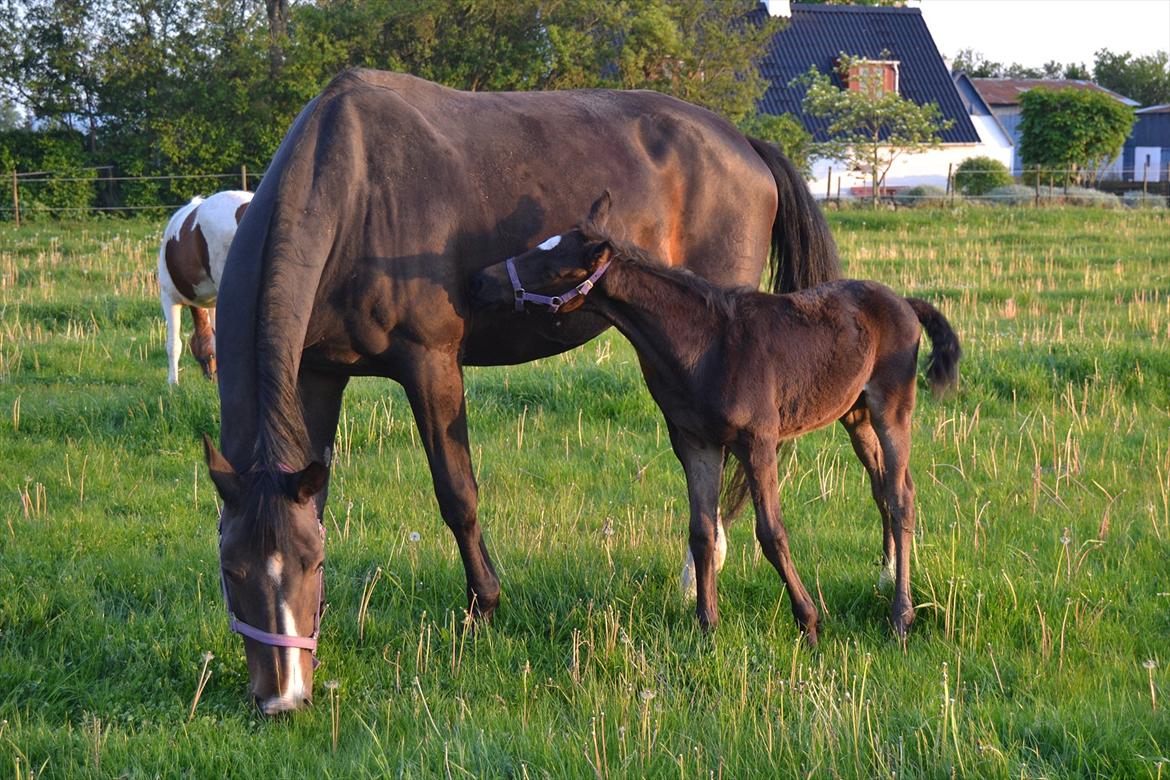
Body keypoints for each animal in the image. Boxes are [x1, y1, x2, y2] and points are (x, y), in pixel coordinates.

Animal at [203, 70, 842, 715]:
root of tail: (744, 142)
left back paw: (699, 586)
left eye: (308, 563)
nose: (281, 698)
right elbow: (321, 497)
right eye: (230, 572)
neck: (350, 190)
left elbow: (457, 494)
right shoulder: (317, 374)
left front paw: (483, 608)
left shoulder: (430, 364)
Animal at [465, 191, 959, 645]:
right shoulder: (696, 442)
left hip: (892, 407)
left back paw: (901, 617)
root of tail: (905, 302)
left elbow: (770, 532)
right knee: (883, 486)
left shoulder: (758, 441)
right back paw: (886, 578)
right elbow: (701, 530)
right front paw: (706, 625)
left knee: (901, 497)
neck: (706, 345)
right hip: (854, 414)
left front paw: (809, 621)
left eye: (553, 267)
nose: (480, 282)